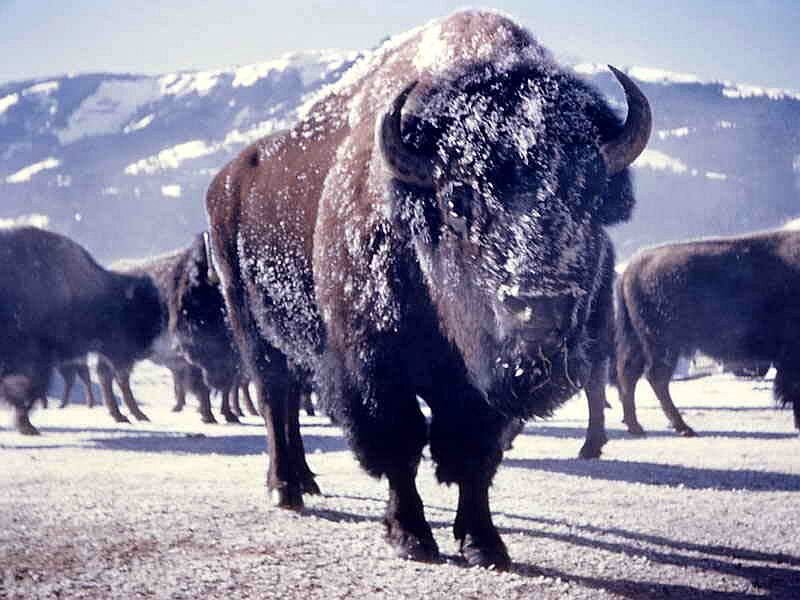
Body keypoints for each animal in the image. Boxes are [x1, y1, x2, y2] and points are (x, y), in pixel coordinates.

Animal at [206, 10, 650, 569]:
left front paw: (483, 543)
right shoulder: (374, 367)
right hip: (251, 327)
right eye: (459, 199)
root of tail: (227, 180)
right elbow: (401, 444)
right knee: (274, 399)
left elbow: (473, 454)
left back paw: (306, 482)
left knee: (287, 404)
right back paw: (285, 488)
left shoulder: (478, 388)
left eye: (590, 198)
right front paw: (411, 536)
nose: (539, 311)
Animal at [615, 229, 800, 436]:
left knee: (628, 375)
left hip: (639, 342)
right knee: (655, 377)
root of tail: (630, 270)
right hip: (663, 345)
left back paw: (636, 426)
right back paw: (683, 428)